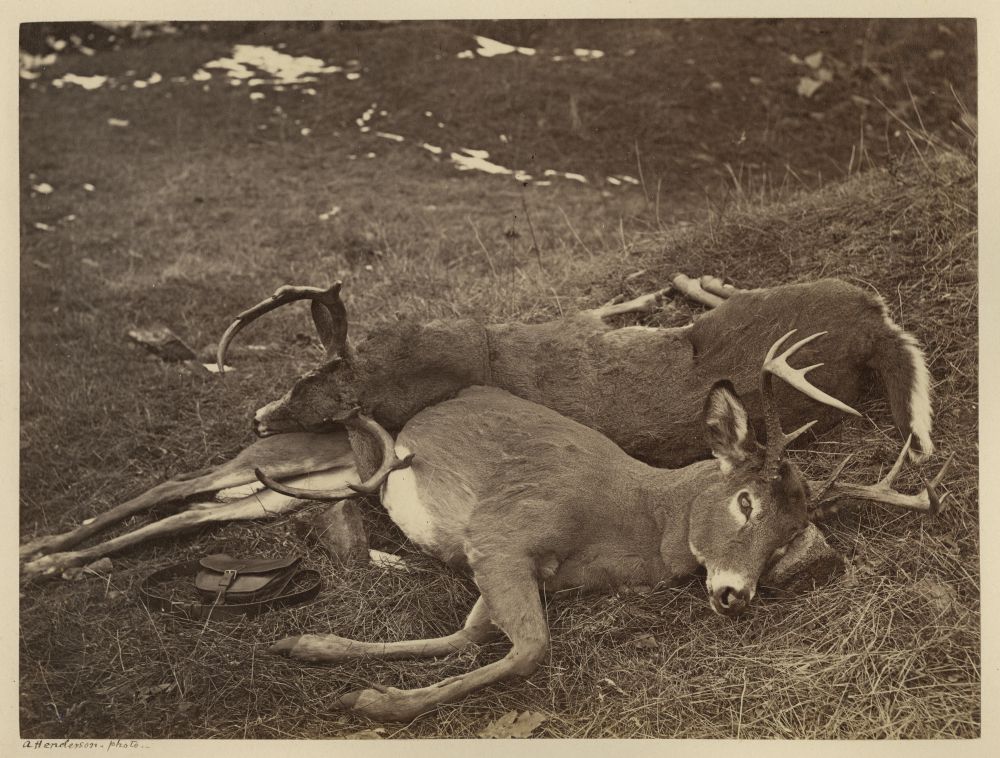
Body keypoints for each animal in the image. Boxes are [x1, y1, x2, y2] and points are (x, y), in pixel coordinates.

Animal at [257, 332, 950, 722]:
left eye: (786, 541)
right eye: (746, 503)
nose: (736, 596)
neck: (636, 520)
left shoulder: (521, 567)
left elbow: (470, 636)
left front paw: (316, 649)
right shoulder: (502, 531)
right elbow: (530, 649)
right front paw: (375, 703)